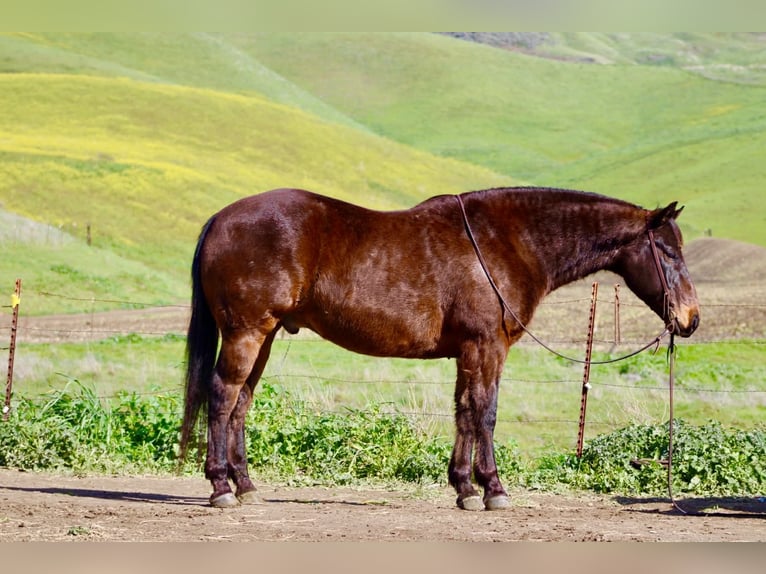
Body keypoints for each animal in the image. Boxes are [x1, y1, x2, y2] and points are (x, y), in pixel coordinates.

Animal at [179, 186, 700, 510]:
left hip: (264, 336)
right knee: (222, 397)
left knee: (241, 402)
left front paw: (464, 487)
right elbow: (485, 412)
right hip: (246, 333)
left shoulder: (469, 352)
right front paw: (493, 489)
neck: (506, 243)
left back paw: (246, 485)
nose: (690, 319)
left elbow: (464, 412)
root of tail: (221, 219)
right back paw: (221, 486)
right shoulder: (487, 347)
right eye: (669, 252)